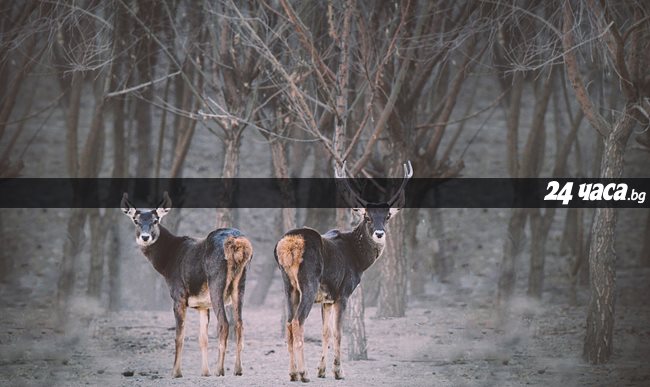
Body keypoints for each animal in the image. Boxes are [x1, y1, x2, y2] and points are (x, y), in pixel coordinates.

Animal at [120, 193, 252, 378]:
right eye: (136, 220)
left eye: (155, 220)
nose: (145, 237)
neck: (166, 264)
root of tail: (237, 242)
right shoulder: (203, 305)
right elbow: (202, 338)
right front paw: (205, 372)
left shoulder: (179, 295)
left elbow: (179, 336)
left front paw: (176, 372)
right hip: (241, 283)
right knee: (240, 323)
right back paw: (238, 369)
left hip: (216, 282)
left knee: (224, 323)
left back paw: (220, 370)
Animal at [274, 161, 410, 382]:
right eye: (367, 217)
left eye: (387, 216)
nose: (379, 233)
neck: (358, 259)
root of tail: (288, 244)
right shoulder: (343, 292)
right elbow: (338, 332)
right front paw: (338, 371)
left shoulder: (327, 299)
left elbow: (326, 332)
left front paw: (322, 371)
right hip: (308, 283)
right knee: (297, 321)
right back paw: (303, 373)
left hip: (288, 285)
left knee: (288, 323)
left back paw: (293, 373)